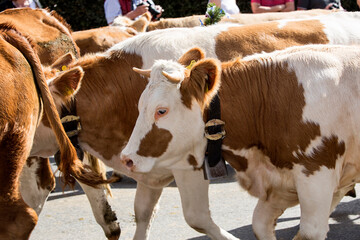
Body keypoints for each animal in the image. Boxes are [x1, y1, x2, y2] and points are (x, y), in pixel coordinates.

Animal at [120, 44, 360, 238]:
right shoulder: (281, 185)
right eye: (140, 106)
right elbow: (260, 225)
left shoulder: (316, 173)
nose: (126, 159)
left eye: (161, 111)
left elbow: (309, 232)